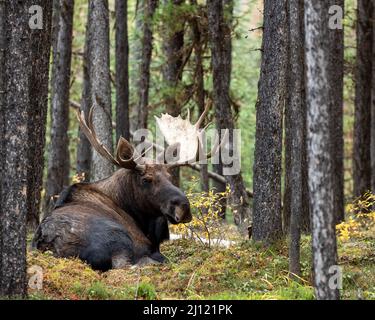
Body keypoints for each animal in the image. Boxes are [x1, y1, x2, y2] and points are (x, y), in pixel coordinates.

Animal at [32, 107, 222, 270]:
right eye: (146, 179)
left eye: (170, 176)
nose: (183, 207)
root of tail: (48, 241)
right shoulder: (145, 244)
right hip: (119, 237)